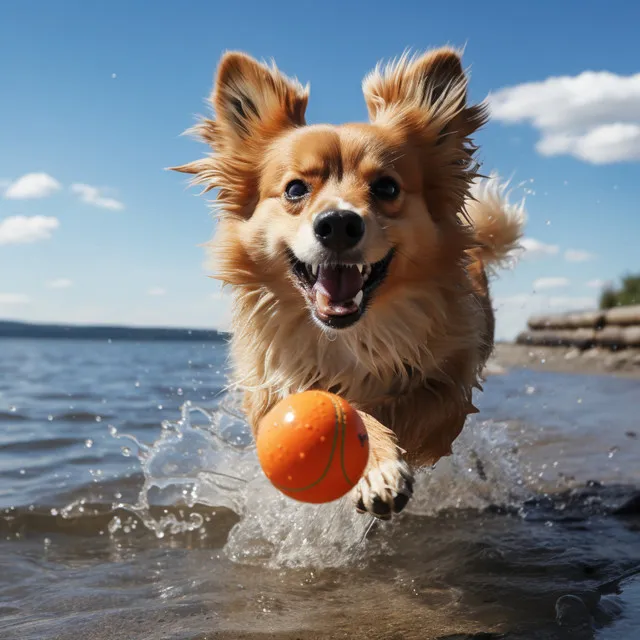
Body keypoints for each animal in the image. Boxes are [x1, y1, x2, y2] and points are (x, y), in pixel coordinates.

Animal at [172, 48, 524, 520]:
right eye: (295, 189)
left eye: (387, 187)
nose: (338, 223)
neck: (351, 339)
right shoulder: (269, 392)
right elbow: (344, 407)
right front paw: (374, 458)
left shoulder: (450, 389)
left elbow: (396, 408)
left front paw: (377, 458)